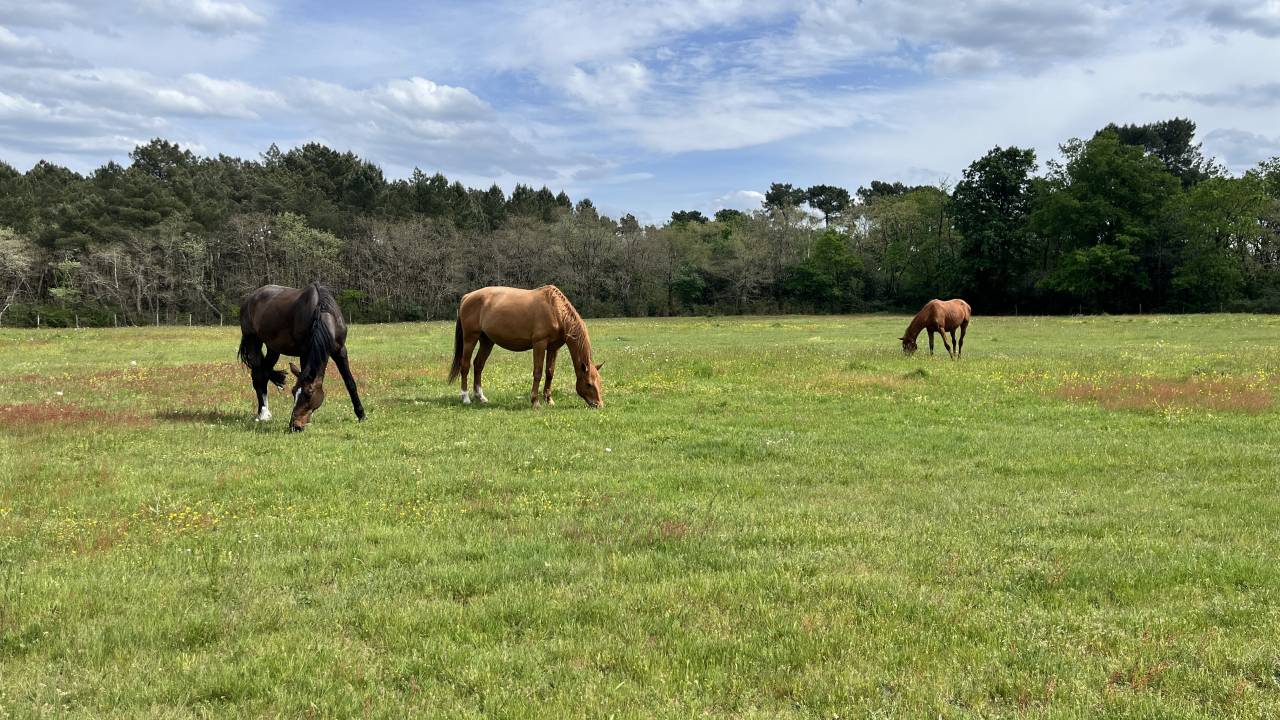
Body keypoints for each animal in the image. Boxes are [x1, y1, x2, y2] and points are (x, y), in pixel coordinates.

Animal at [238, 283, 365, 431]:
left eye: (308, 394)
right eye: (293, 392)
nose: (295, 426)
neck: (322, 313)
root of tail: (249, 299)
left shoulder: (340, 351)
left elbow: (350, 383)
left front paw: (361, 415)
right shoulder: (305, 352)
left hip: (273, 349)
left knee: (264, 374)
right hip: (253, 342)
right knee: (258, 376)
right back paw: (263, 414)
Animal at [448, 285, 603, 408]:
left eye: (599, 382)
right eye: (589, 384)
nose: (599, 404)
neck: (555, 310)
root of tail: (467, 297)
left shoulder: (553, 348)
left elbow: (550, 372)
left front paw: (549, 400)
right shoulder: (539, 344)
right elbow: (538, 372)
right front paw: (535, 401)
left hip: (487, 341)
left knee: (478, 365)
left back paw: (480, 397)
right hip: (470, 338)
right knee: (465, 365)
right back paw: (465, 398)